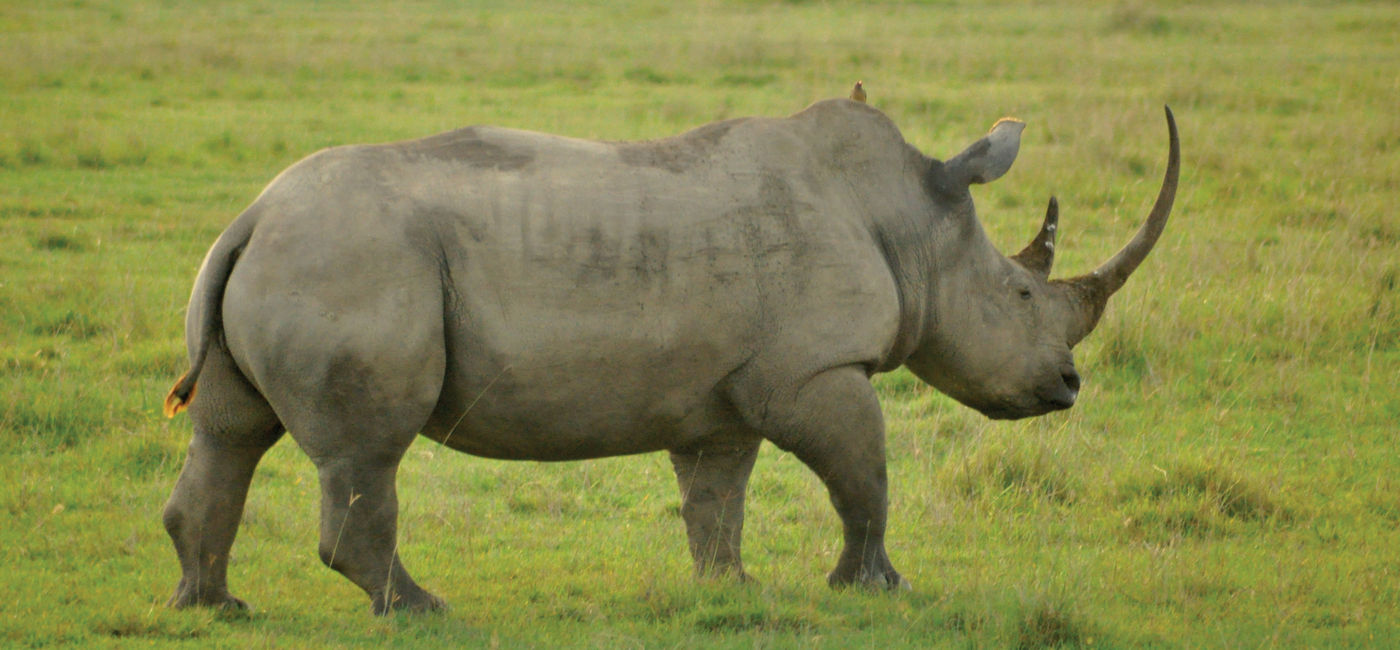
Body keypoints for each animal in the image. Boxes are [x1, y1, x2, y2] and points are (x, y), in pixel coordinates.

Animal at [161, 97, 1179, 614]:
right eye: (1021, 297)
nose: (1069, 385)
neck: (908, 220)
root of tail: (250, 216)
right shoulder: (814, 370)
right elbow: (865, 479)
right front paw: (878, 591)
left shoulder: (725, 393)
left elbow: (716, 497)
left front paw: (731, 592)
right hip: (351, 257)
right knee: (366, 452)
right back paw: (419, 608)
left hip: (294, 256)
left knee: (231, 433)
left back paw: (213, 607)